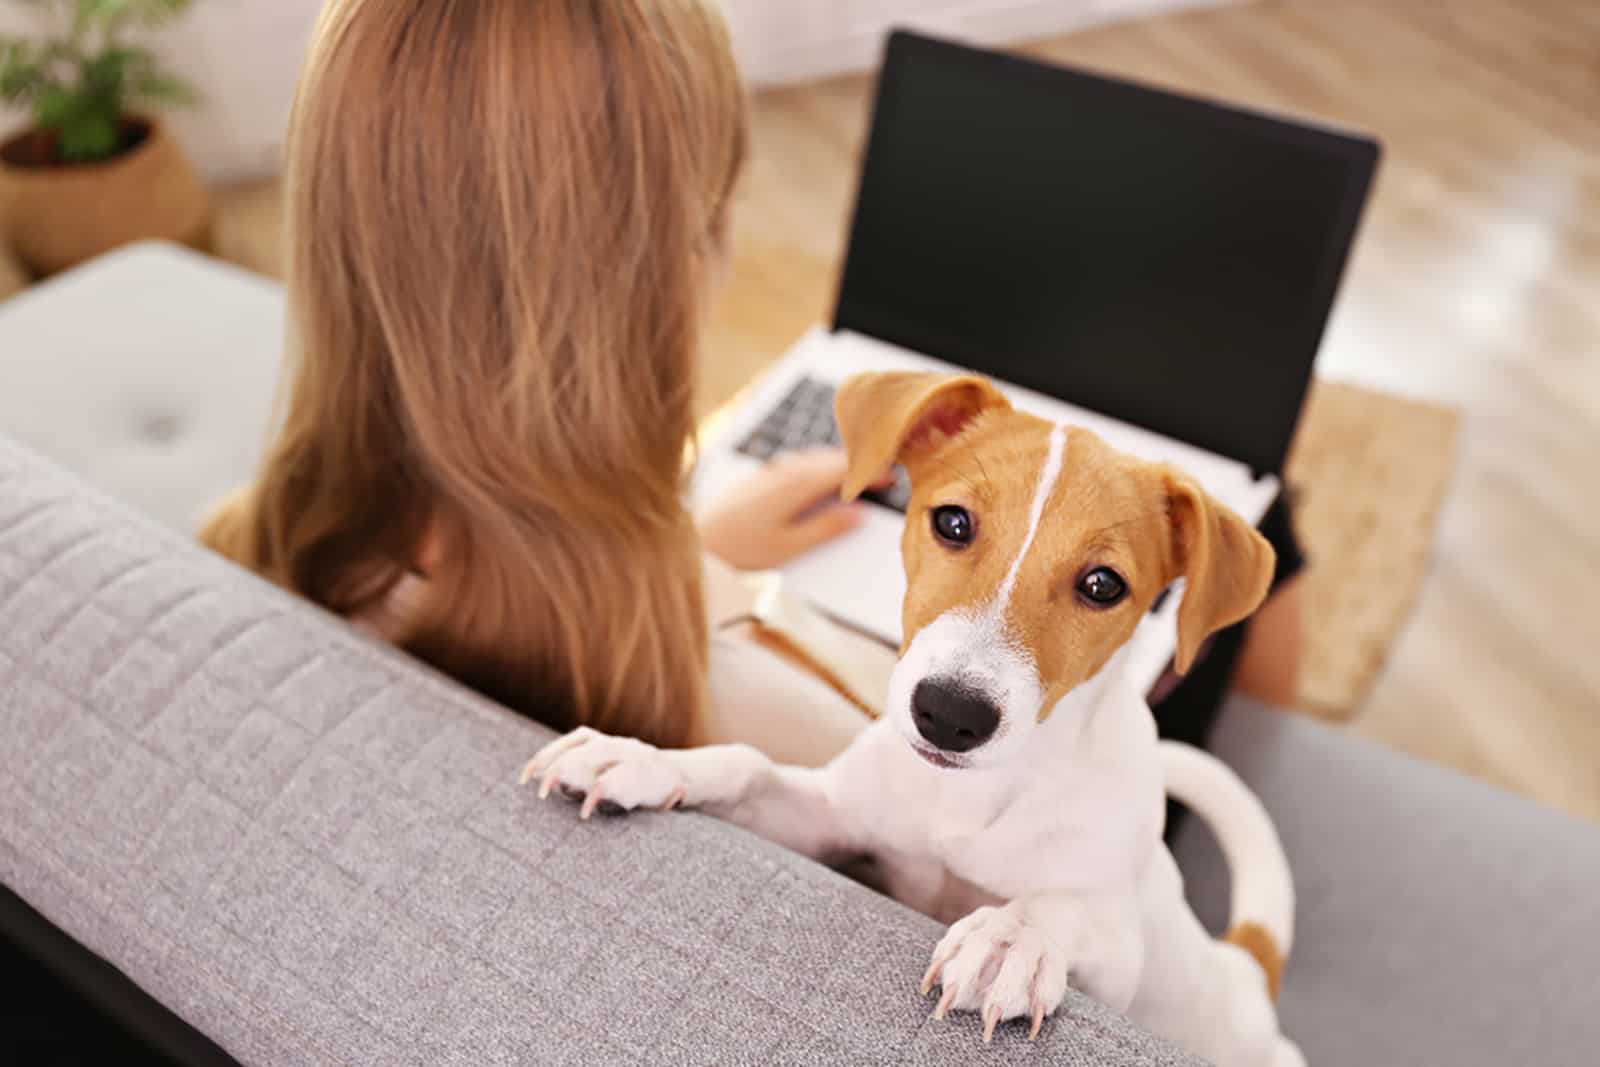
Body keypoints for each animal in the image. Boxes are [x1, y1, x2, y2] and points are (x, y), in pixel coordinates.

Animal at [521, 371, 1299, 1062]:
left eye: (1103, 585)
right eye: (953, 522)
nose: (950, 715)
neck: (971, 796)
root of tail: (1245, 970)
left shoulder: (1119, 958)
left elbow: (1057, 904)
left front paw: (1009, 937)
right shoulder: (828, 821)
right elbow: (746, 764)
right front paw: (640, 757)